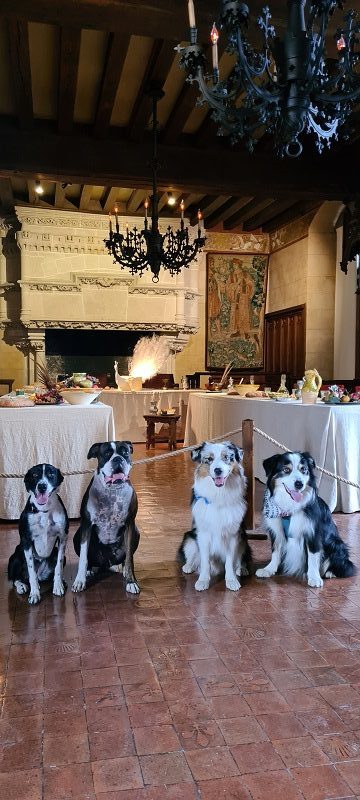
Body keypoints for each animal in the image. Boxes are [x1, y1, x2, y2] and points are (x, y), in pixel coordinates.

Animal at [72, 444, 141, 592]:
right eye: (107, 453)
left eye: (125, 452)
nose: (117, 459)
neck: (112, 490)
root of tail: (107, 563)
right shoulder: (86, 525)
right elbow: (83, 557)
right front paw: (80, 580)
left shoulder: (130, 526)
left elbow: (129, 559)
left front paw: (131, 581)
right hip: (77, 536)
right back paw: (89, 571)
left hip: (136, 533)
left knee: (126, 558)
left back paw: (123, 569)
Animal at [256, 454, 354, 592]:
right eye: (286, 470)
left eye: (304, 470)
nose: (299, 484)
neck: (289, 510)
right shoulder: (276, 531)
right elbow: (275, 551)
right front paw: (269, 569)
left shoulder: (313, 533)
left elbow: (313, 557)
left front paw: (314, 578)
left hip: (335, 543)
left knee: (346, 567)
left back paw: (329, 573)